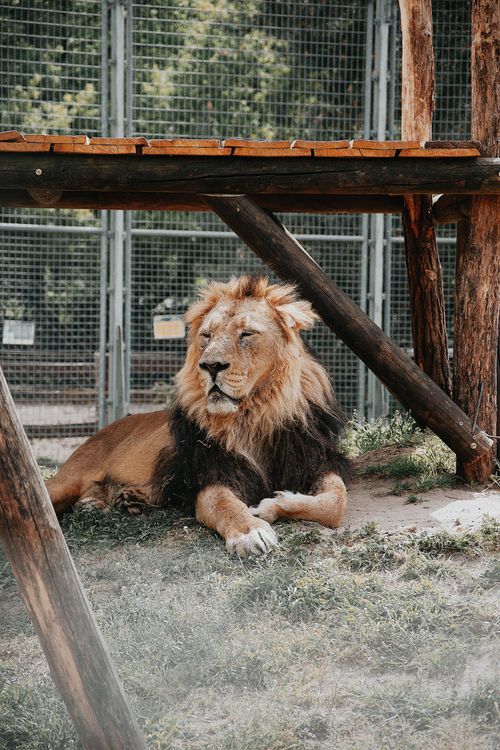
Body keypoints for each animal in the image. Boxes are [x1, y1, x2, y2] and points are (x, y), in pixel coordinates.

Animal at [46, 275, 349, 556]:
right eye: (206, 336)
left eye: (246, 334)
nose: (211, 365)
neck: (254, 417)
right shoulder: (210, 474)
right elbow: (225, 505)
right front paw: (250, 532)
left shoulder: (315, 461)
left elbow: (335, 502)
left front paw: (272, 505)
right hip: (67, 480)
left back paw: (103, 503)